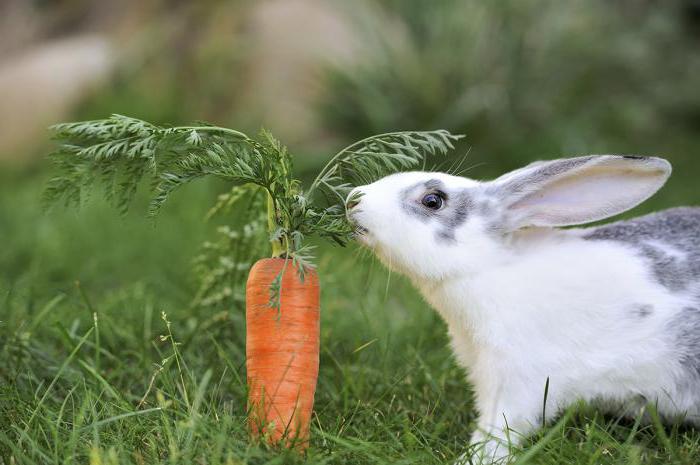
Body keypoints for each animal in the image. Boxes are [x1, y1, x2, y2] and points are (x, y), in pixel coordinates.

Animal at [344, 155, 700, 460]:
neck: (489, 266)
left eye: (433, 200)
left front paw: (475, 459)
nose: (353, 200)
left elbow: (498, 429)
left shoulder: (517, 380)